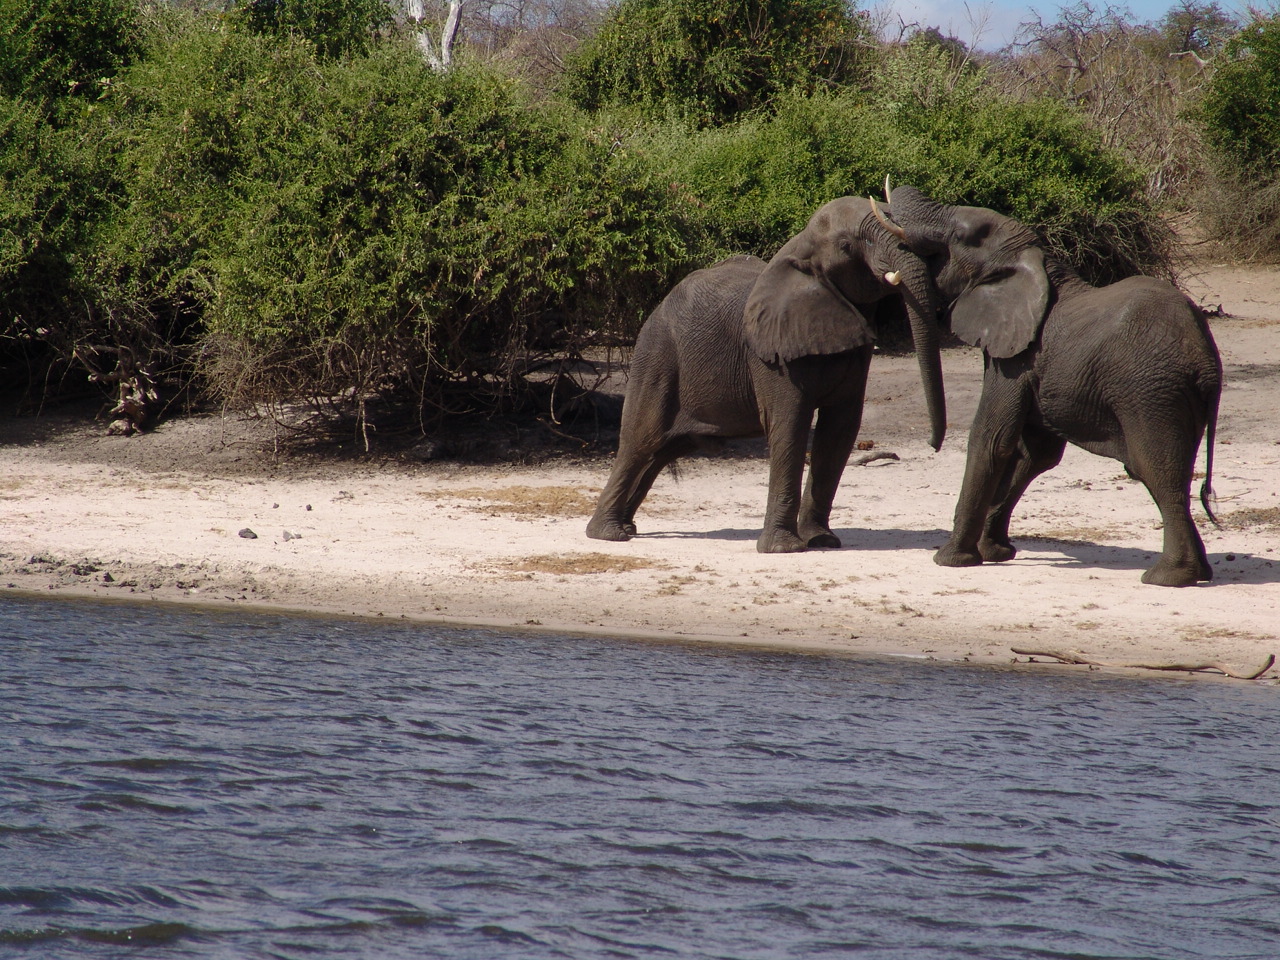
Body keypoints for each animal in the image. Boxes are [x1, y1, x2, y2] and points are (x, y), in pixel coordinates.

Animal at [586, 195, 947, 554]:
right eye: (849, 246)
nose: (933, 445)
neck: (803, 248)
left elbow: (840, 428)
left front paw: (823, 541)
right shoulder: (771, 355)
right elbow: (789, 422)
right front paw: (784, 549)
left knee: (663, 450)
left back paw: (627, 527)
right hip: (657, 356)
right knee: (640, 440)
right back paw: (608, 534)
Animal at [875, 185, 1222, 586]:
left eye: (960, 236)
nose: (932, 445)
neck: (1036, 261)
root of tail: (1207, 361)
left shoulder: (1018, 359)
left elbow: (991, 440)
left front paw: (950, 560)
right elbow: (1035, 454)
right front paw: (995, 553)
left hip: (1152, 392)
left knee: (1157, 472)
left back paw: (1166, 577)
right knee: (1165, 474)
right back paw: (1200, 571)